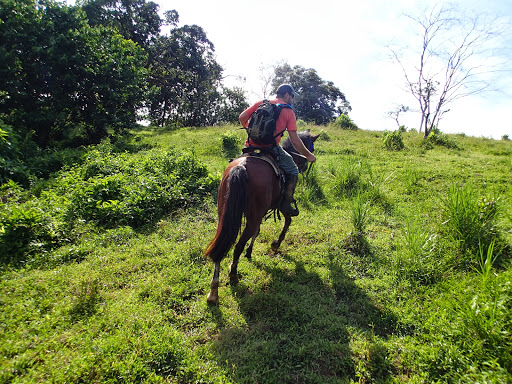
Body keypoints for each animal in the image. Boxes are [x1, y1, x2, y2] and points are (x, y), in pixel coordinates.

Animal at [203, 130, 316, 304]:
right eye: (311, 146)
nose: (305, 164)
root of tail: (241, 167)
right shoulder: (280, 204)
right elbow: (287, 221)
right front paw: (275, 244)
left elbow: (257, 231)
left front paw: (250, 252)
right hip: (253, 215)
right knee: (237, 245)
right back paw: (233, 275)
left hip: (225, 213)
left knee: (222, 243)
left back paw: (213, 291)